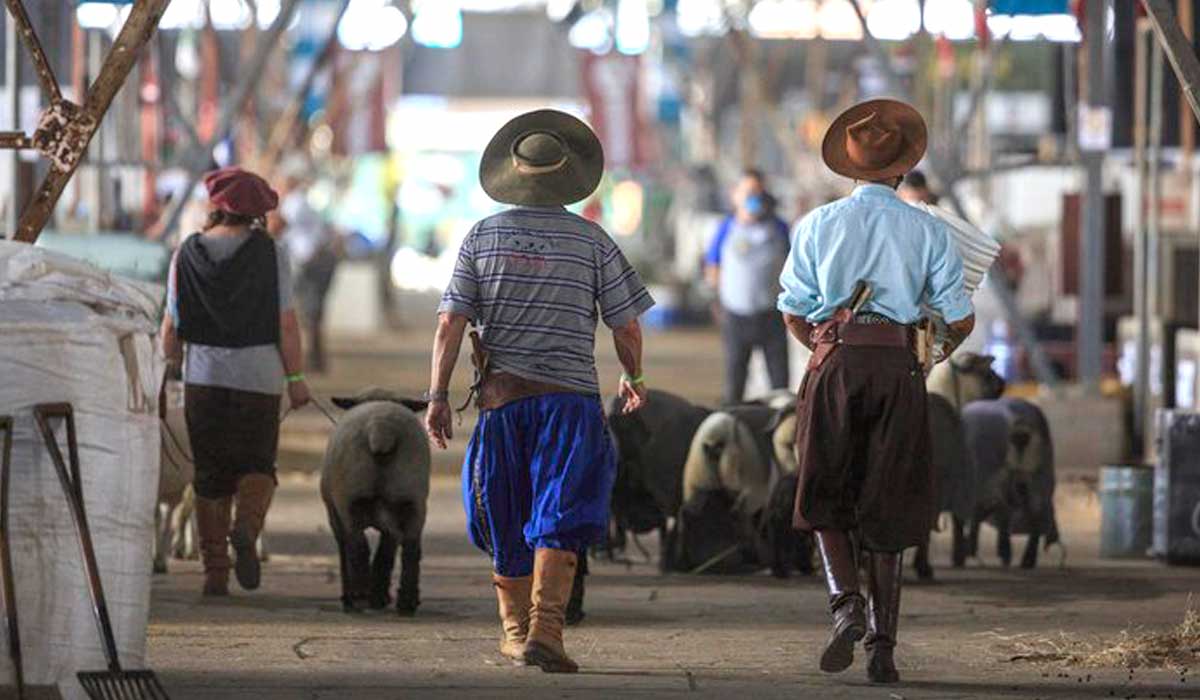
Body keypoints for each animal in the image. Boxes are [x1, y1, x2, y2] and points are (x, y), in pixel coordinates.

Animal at [324, 389, 432, 614]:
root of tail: (381, 428)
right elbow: (387, 551)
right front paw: (380, 595)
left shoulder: (335, 516)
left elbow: (345, 552)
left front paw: (351, 597)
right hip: (412, 498)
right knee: (410, 549)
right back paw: (406, 601)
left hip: (350, 500)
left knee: (357, 546)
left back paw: (359, 595)